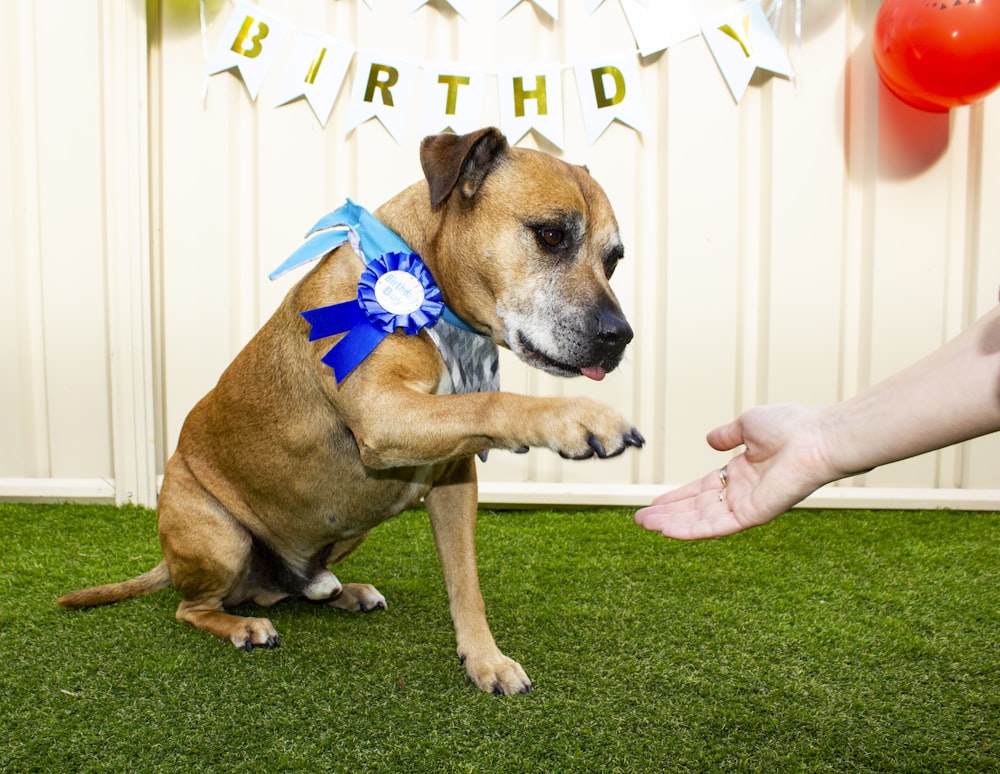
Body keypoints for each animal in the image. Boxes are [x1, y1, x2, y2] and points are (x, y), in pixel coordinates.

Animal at [60, 129, 640, 696]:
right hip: (220, 537)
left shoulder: (453, 482)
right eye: (551, 235)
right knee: (193, 607)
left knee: (288, 591)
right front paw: (573, 418)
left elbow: (466, 582)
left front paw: (484, 659)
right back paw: (242, 625)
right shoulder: (385, 414)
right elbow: (490, 401)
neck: (430, 290)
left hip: (343, 533)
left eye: (613, 259)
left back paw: (340, 592)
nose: (620, 337)